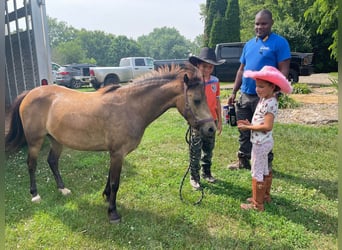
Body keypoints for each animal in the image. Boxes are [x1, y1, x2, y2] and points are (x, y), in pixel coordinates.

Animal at [5, 64, 215, 223]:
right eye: (197, 100)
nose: (211, 129)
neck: (130, 106)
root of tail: (30, 93)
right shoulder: (117, 154)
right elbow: (115, 183)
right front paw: (113, 212)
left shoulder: (115, 154)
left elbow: (109, 179)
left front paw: (106, 198)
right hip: (35, 141)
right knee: (32, 164)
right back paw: (35, 194)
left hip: (56, 140)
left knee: (52, 162)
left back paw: (62, 189)